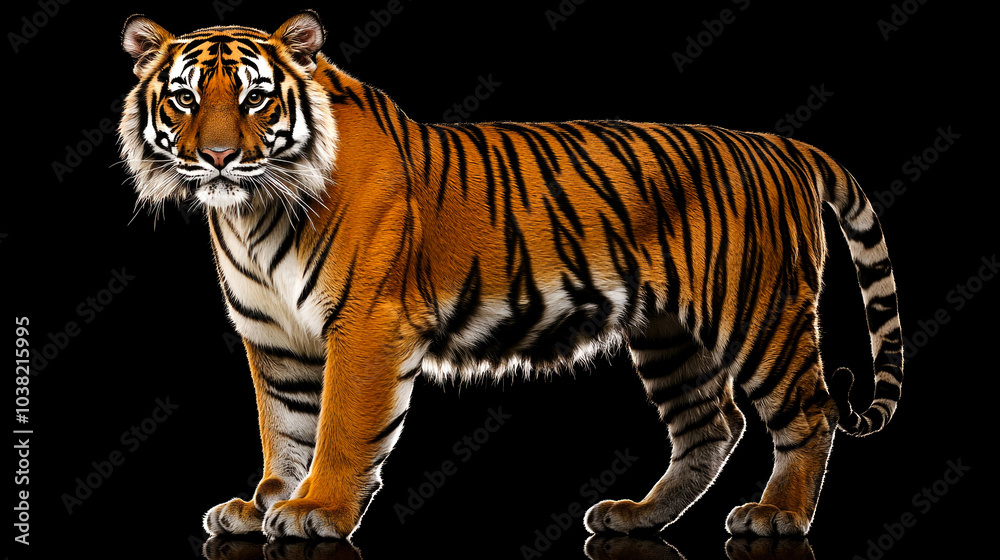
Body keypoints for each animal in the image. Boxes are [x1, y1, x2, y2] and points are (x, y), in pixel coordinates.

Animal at [118, 10, 903, 540]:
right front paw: (263, 503)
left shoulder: (366, 324)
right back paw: (637, 516)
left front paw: (315, 510)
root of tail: (784, 145)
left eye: (255, 98)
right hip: (669, 334)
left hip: (757, 312)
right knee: (711, 426)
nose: (219, 158)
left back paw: (777, 516)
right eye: (186, 98)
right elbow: (284, 428)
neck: (252, 212)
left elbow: (339, 427)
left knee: (808, 412)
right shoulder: (276, 340)